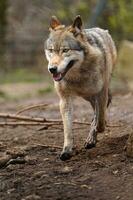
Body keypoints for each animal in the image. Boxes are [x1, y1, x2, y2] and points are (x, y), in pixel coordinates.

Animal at [44, 14, 116, 160]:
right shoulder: (65, 100)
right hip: (88, 97)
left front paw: (97, 127)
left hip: (97, 93)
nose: (52, 69)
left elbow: (100, 121)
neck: (78, 76)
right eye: (51, 50)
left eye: (65, 50)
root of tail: (100, 29)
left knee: (99, 111)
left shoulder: (101, 93)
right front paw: (66, 150)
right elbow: (67, 130)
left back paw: (92, 136)